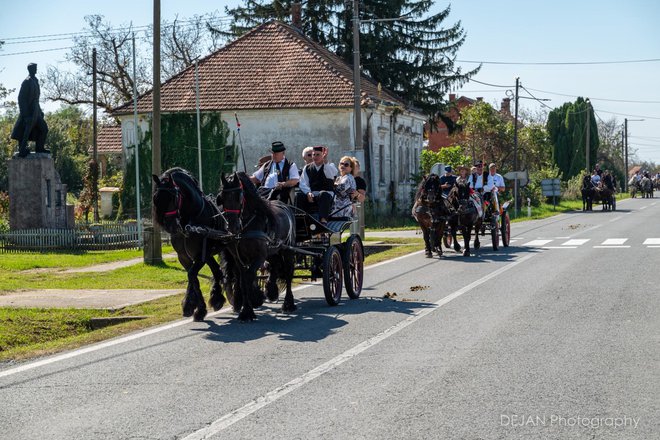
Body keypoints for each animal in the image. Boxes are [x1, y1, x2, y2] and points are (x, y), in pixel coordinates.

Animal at [151, 167, 232, 322]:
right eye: (156, 198)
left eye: (173, 197)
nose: (170, 226)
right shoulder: (185, 256)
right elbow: (192, 278)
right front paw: (194, 307)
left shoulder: (201, 255)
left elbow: (192, 275)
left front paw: (196, 306)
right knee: (217, 270)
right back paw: (217, 296)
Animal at [219, 170, 296, 322]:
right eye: (222, 198)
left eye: (240, 196)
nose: (232, 227)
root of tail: (285, 206)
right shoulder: (238, 258)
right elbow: (242, 280)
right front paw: (246, 307)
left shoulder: (259, 256)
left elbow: (249, 277)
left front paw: (250, 305)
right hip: (273, 251)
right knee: (275, 265)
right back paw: (271, 291)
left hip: (287, 250)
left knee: (288, 272)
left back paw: (288, 304)